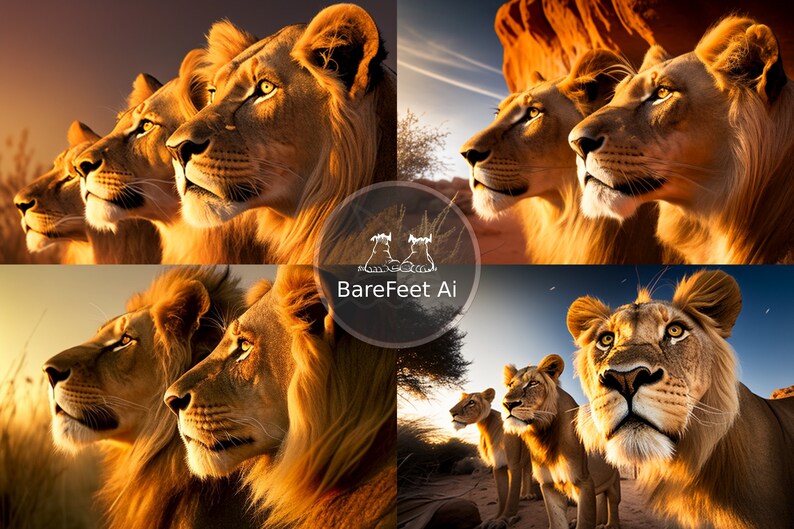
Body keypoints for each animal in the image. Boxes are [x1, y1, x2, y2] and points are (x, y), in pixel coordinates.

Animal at [449, 388, 539, 526]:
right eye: (460, 400)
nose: (451, 412)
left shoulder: (514, 463)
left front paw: (504, 518)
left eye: (471, 402)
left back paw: (529, 495)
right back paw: (524, 495)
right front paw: (494, 518)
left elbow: (512, 493)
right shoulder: (498, 464)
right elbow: (502, 496)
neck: (486, 428)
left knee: (528, 472)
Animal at [503, 354, 621, 529]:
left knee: (613, 502)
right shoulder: (548, 485)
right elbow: (557, 521)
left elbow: (585, 520)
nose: (508, 404)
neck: (543, 438)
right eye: (510, 385)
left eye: (533, 383)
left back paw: (611, 525)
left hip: (614, 481)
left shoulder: (584, 481)